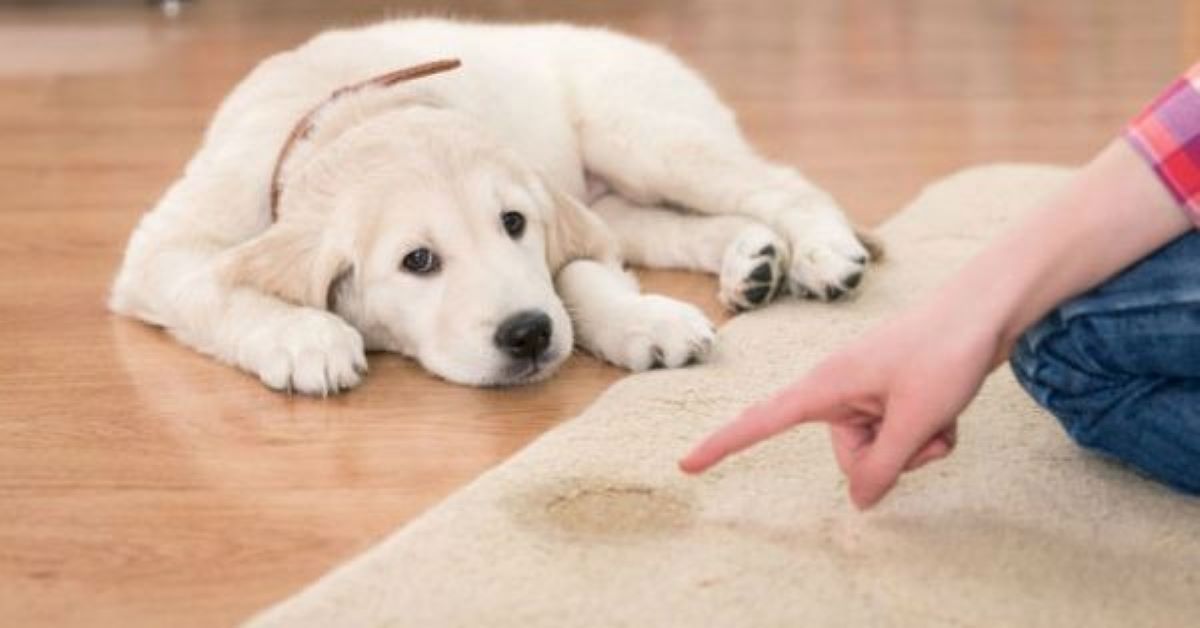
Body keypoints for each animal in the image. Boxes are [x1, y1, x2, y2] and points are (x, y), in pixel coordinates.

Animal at [112, 19, 878, 396]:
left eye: (514, 224)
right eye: (418, 261)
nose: (528, 335)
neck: (352, 111)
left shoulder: (560, 219)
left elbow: (577, 276)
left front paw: (641, 320)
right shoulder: (163, 250)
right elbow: (217, 287)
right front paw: (305, 338)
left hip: (642, 134)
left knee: (781, 184)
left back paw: (821, 253)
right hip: (621, 196)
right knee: (676, 227)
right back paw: (753, 261)